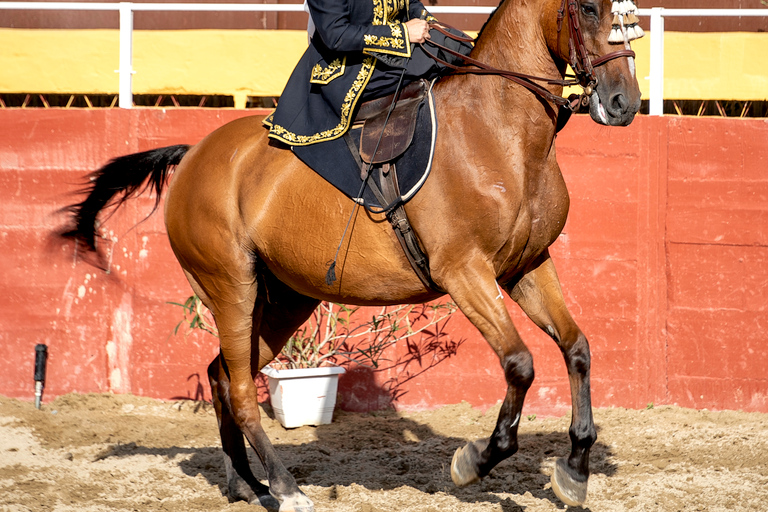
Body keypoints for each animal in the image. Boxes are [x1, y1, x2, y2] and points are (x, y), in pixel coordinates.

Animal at [61, 0, 640, 510]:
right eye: (588, 8)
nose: (624, 103)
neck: (499, 130)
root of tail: (193, 155)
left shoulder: (527, 266)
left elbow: (577, 348)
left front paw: (575, 469)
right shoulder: (464, 270)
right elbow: (520, 363)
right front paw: (475, 460)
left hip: (284, 300)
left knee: (223, 375)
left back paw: (246, 483)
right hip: (232, 287)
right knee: (242, 390)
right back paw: (286, 489)